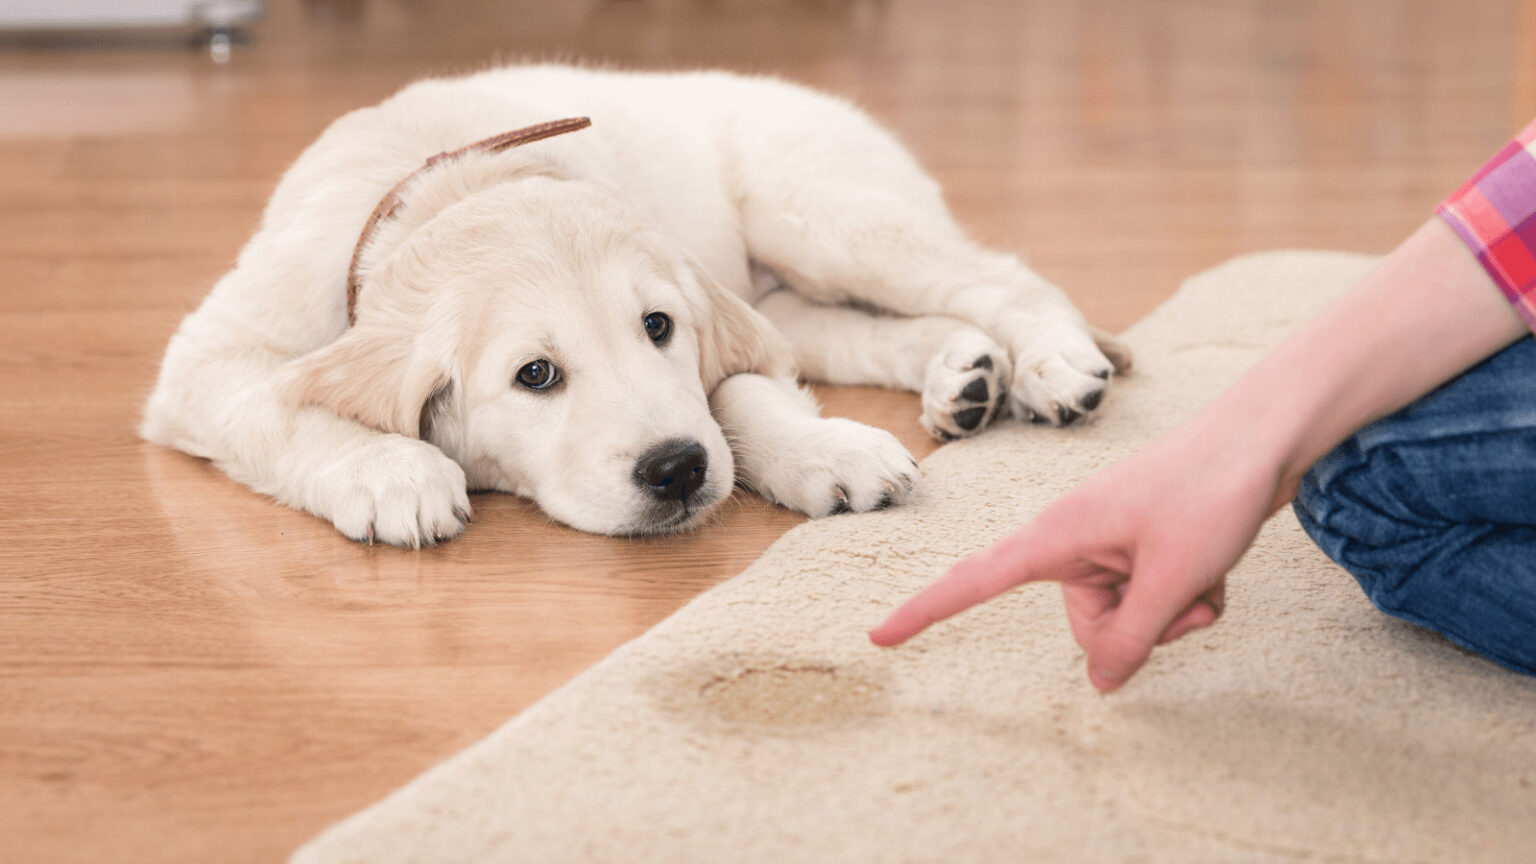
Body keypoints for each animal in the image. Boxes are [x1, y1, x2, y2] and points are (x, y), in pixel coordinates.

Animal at [141, 63, 1130, 544]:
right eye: (535, 375)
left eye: (658, 328)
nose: (677, 471)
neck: (450, 182)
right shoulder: (210, 358)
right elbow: (277, 405)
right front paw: (391, 473)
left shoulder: (711, 317)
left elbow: (739, 392)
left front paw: (823, 449)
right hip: (791, 282)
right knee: (856, 330)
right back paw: (964, 375)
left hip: (820, 212)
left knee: (1001, 276)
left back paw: (1051, 365)